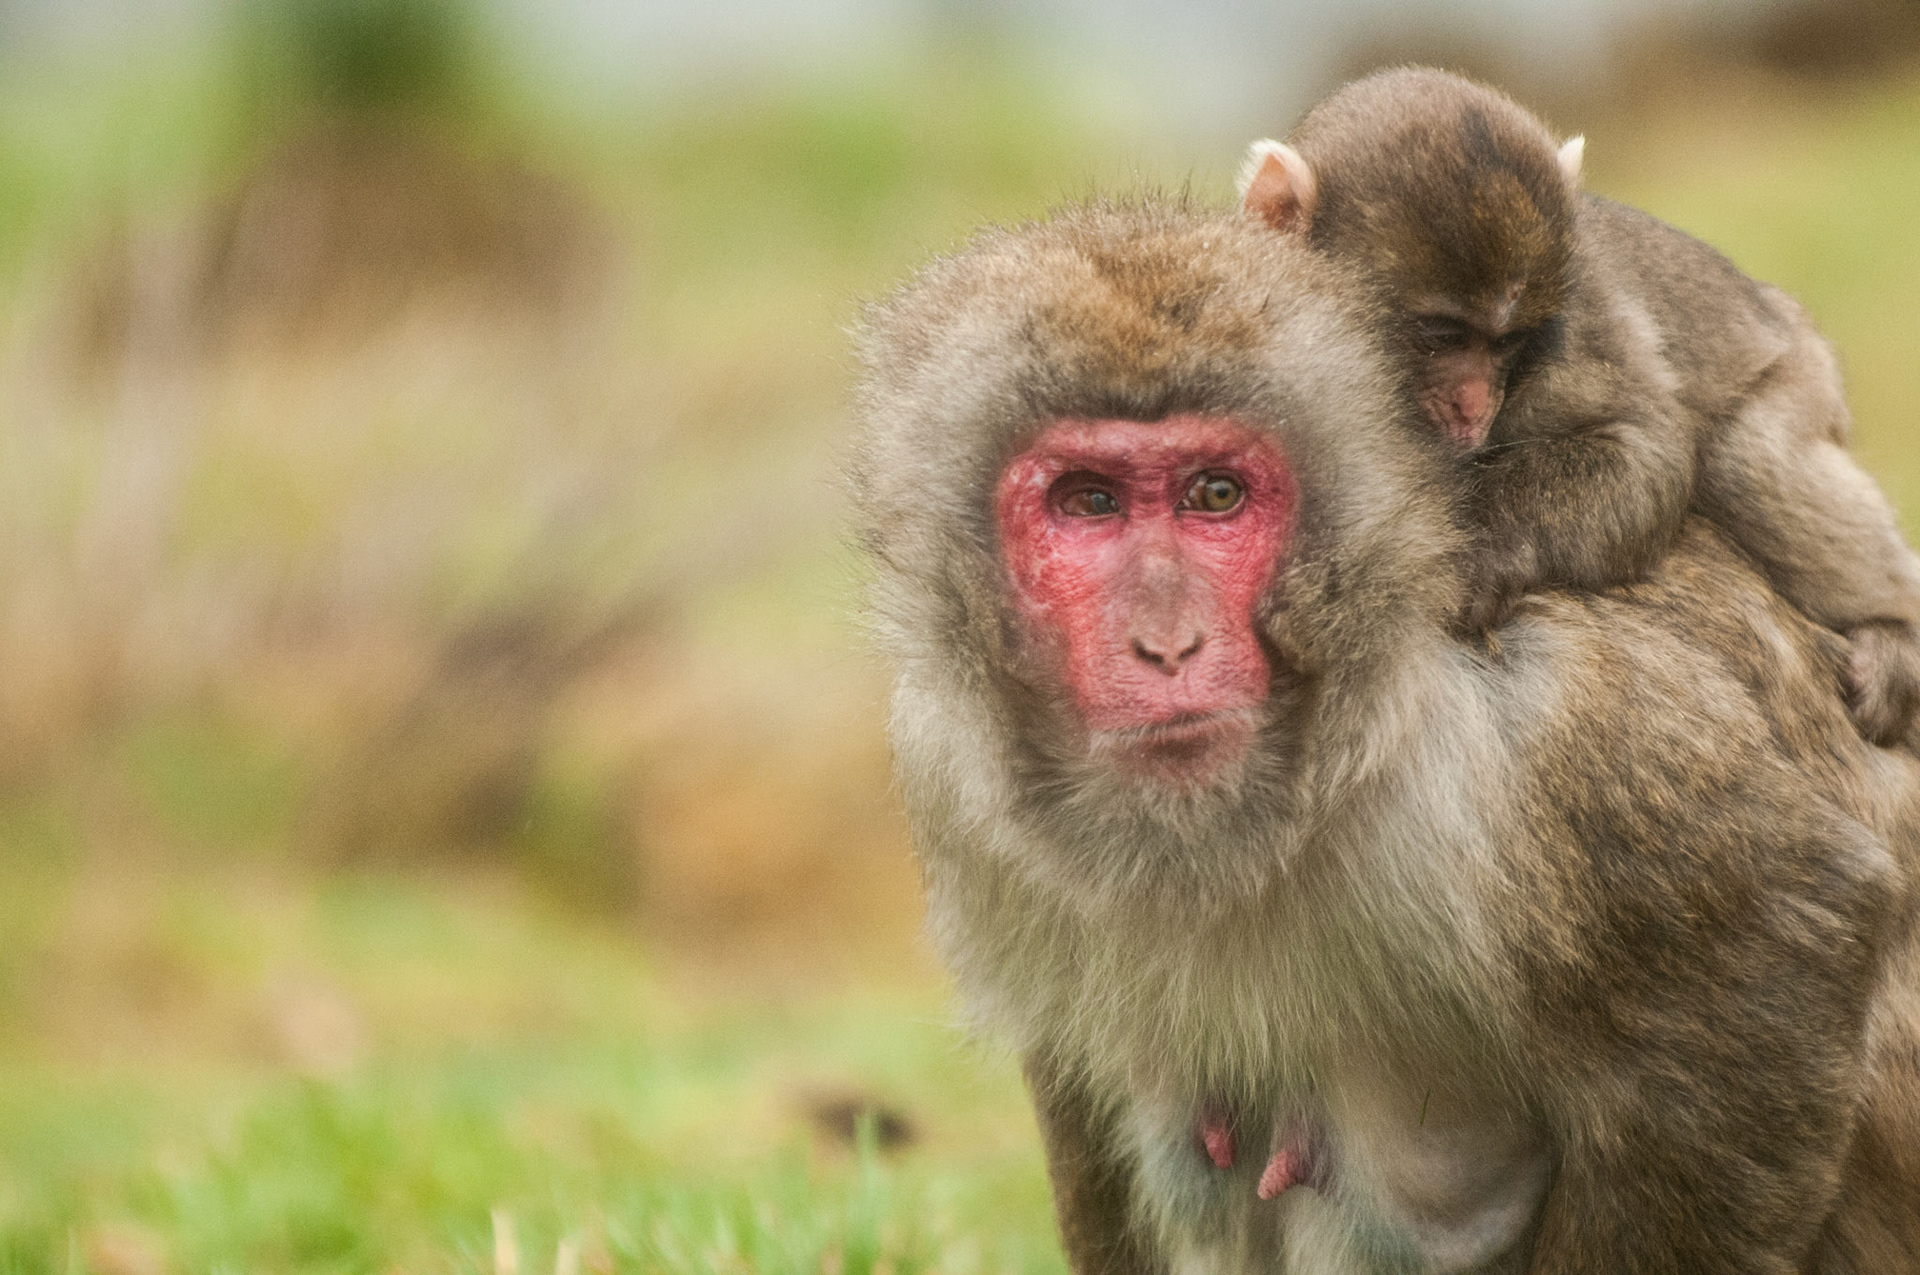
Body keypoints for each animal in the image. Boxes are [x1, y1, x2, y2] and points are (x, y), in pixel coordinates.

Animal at [852, 195, 1920, 1272]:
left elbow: (1781, 937)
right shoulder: (948, 768)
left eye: (1215, 496)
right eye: (1089, 503)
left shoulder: (1537, 729)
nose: (1167, 645)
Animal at [1237, 67, 1920, 748]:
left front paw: (1479, 554)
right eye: (1442, 336)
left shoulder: (1576, 333)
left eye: (1508, 342)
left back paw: (1895, 629)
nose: (1475, 403)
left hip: (1801, 373)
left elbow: (1650, 454)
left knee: (1744, 457)